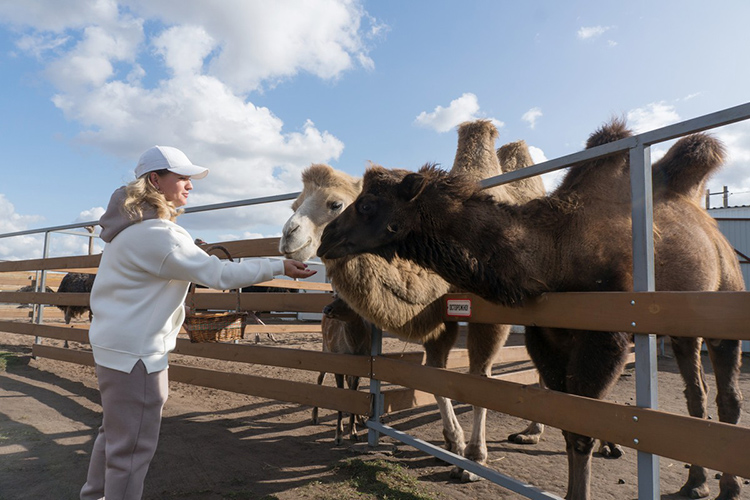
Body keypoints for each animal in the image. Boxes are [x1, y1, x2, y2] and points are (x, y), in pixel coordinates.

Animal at [280, 118, 548, 480]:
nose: (287, 236)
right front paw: (452, 446)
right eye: (295, 205)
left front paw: (474, 459)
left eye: (336, 203)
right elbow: (435, 376)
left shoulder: (490, 316)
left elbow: (481, 380)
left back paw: (541, 433)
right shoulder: (440, 322)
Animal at [318, 121, 748, 500]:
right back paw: (695, 483)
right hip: (681, 331)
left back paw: (726, 486)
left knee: (727, 396)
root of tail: (714, 231)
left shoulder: (607, 333)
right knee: (696, 393)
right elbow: (566, 419)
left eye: (367, 204)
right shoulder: (547, 334)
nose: (326, 237)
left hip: (724, 301)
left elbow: (580, 427)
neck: (553, 250)